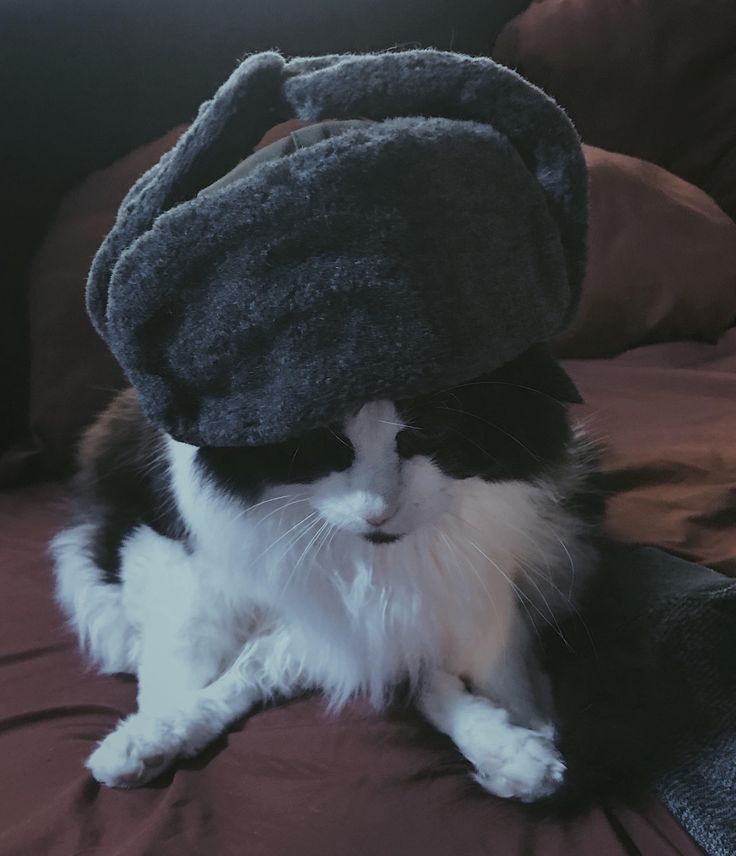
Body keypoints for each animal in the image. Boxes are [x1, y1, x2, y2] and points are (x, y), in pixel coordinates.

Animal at [53, 344, 604, 800]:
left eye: (427, 434)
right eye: (322, 441)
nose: (377, 513)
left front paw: (520, 748)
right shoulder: (175, 554)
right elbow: (189, 665)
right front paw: (153, 733)